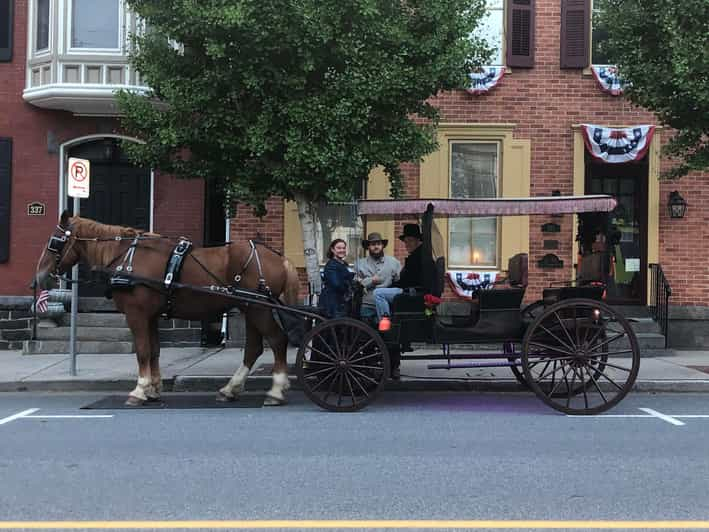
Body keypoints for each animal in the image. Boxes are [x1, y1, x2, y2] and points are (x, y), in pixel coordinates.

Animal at [34, 210, 300, 406]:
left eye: (54, 242)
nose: (38, 278)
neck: (126, 258)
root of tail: (279, 258)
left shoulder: (137, 314)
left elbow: (142, 351)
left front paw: (139, 390)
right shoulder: (151, 316)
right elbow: (154, 351)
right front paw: (153, 389)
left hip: (258, 309)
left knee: (277, 341)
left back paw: (276, 391)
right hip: (250, 307)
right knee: (254, 348)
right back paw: (230, 389)